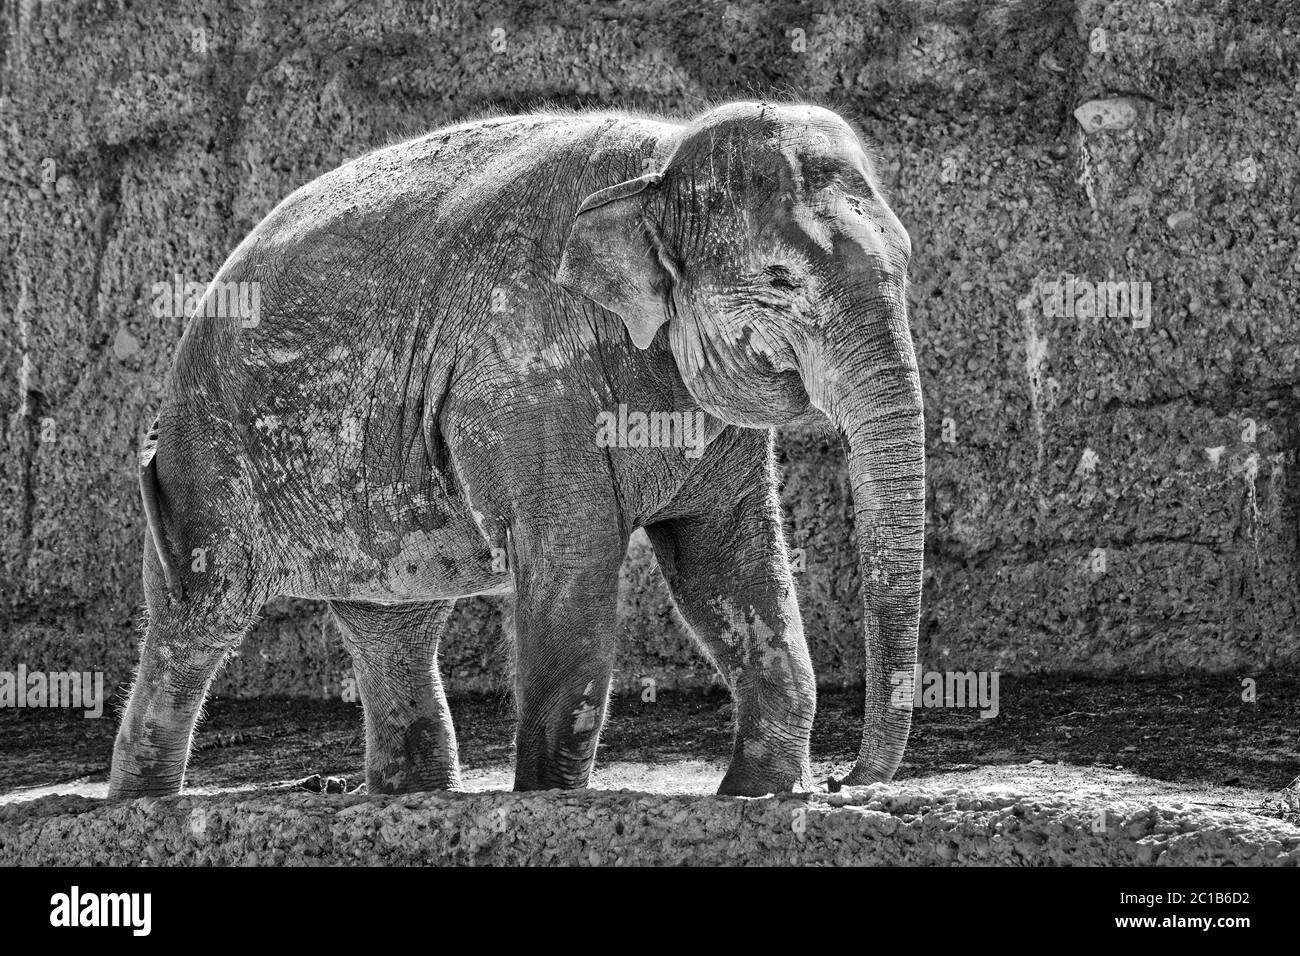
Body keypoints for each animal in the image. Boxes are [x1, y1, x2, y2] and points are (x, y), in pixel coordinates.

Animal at [111, 100, 925, 801]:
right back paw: (142, 807)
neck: (659, 162)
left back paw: (416, 798)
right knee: (199, 619)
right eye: (781, 278)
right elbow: (576, 556)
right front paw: (550, 803)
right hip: (204, 460)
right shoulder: (524, 371)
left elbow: (726, 560)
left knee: (393, 625)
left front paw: (755, 796)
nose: (845, 783)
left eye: (907, 260)